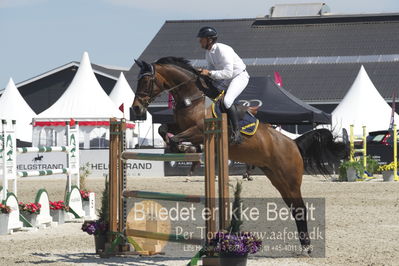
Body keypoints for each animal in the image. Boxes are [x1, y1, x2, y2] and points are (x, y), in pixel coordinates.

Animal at [132, 56, 350, 254]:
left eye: (146, 81)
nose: (136, 108)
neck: (193, 99)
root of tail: (293, 143)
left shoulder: (200, 130)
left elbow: (177, 138)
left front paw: (184, 149)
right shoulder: (179, 125)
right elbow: (163, 129)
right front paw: (178, 147)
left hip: (290, 179)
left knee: (300, 207)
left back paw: (307, 247)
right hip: (277, 178)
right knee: (293, 208)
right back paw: (304, 245)